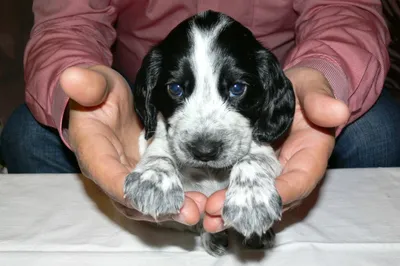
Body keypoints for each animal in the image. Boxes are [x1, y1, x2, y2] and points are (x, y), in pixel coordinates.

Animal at [123, 9, 296, 256]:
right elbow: (159, 152)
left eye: (237, 88)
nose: (204, 151)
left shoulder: (264, 151)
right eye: (175, 88)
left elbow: (250, 160)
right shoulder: (159, 138)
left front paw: (250, 200)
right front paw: (154, 181)